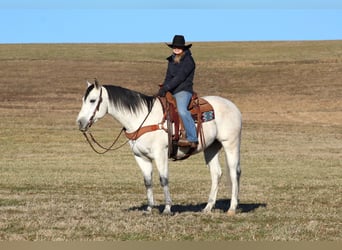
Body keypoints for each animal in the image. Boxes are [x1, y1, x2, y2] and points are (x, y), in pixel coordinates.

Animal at [76, 81, 242, 216]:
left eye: (92, 100)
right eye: (83, 100)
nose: (80, 122)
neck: (142, 118)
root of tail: (233, 107)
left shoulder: (160, 154)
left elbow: (163, 179)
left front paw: (167, 208)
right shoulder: (140, 157)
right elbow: (148, 181)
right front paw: (149, 208)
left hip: (231, 144)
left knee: (234, 173)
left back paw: (232, 208)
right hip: (211, 148)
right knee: (216, 173)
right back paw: (208, 207)